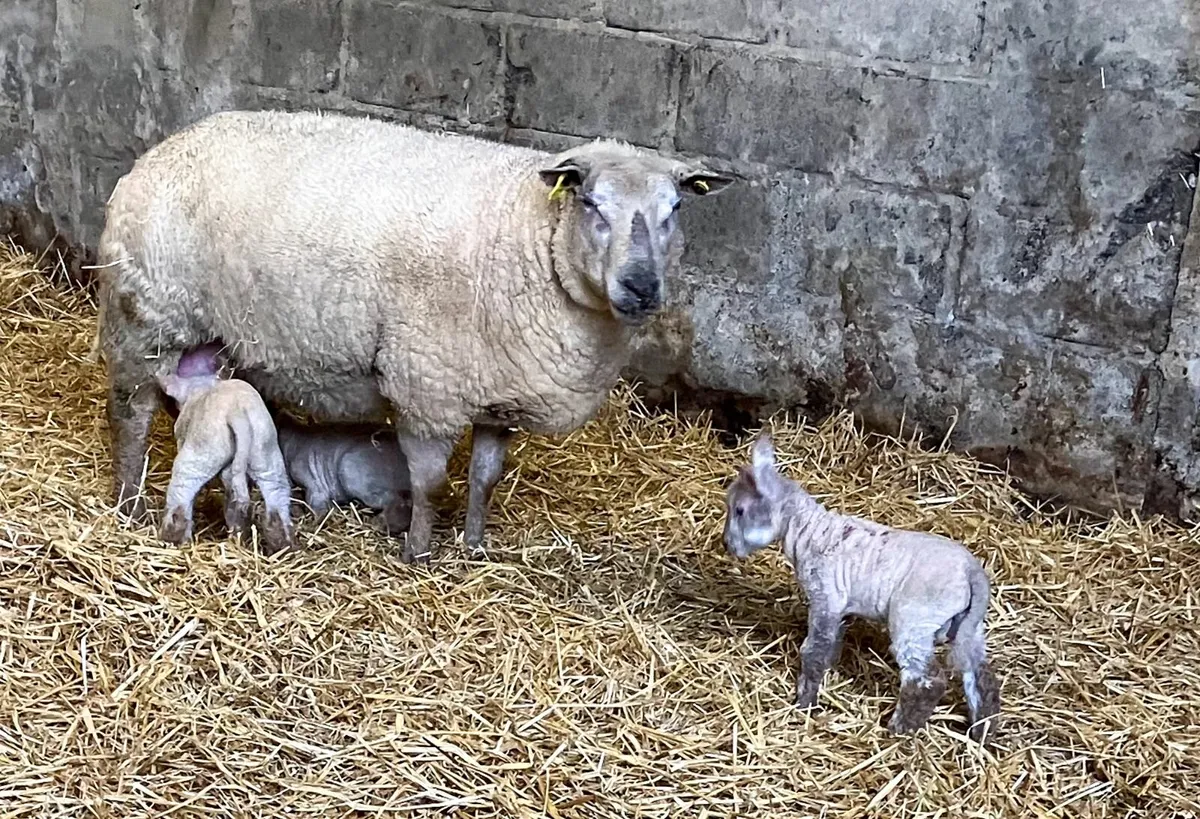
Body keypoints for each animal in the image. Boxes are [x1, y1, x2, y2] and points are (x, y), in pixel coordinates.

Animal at [157, 346, 296, 555]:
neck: (201, 387)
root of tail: (238, 413)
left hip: (203, 451)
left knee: (182, 491)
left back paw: (170, 538)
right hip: (265, 449)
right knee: (275, 495)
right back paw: (282, 546)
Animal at [276, 416, 413, 535]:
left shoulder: (313, 480)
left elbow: (318, 505)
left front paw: (309, 525)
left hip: (352, 472)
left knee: (400, 502)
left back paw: (377, 523)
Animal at [723, 434, 1001, 744]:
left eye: (740, 510)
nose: (726, 544)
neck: (807, 530)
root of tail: (972, 572)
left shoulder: (826, 598)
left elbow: (813, 651)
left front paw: (804, 702)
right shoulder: (840, 608)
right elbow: (831, 644)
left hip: (914, 619)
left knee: (927, 680)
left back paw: (900, 729)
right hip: (969, 625)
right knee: (982, 677)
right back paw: (982, 733)